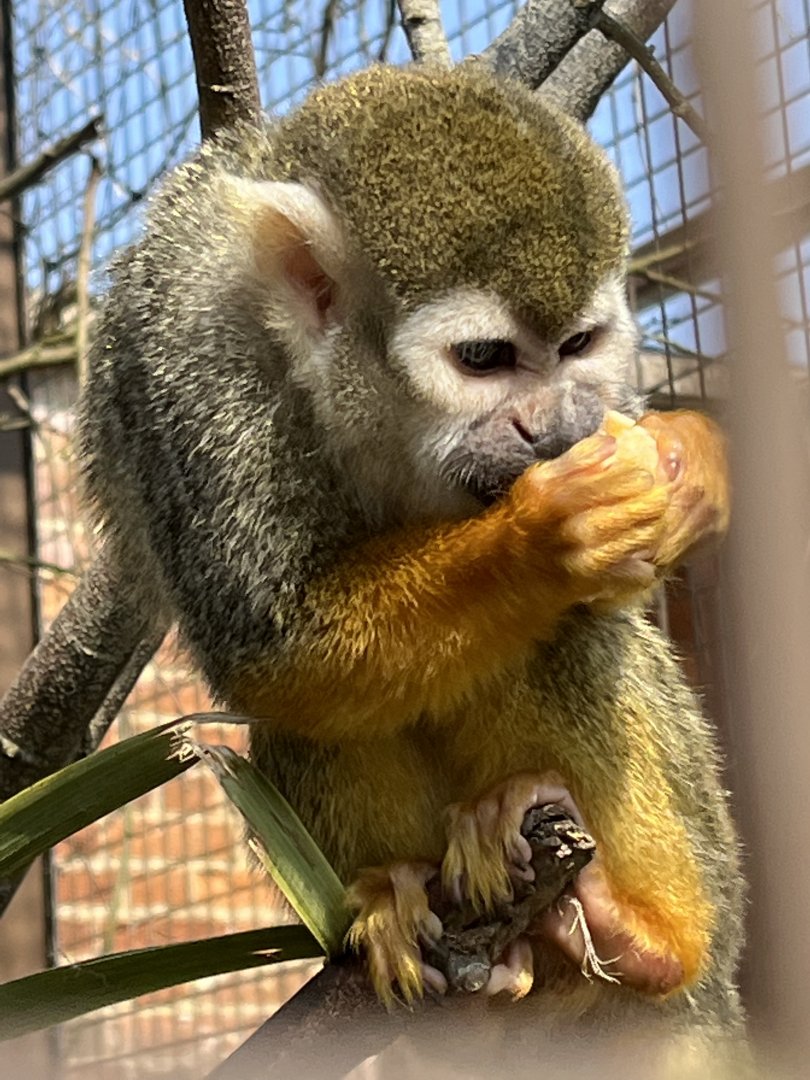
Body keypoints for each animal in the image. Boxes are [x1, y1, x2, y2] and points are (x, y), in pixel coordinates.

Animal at [78, 64, 743, 1055]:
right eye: (484, 359)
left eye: (578, 348)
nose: (552, 430)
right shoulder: (192, 365)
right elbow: (275, 639)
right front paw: (545, 533)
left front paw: (682, 463)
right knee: (318, 704)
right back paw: (414, 904)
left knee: (572, 632)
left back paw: (645, 932)